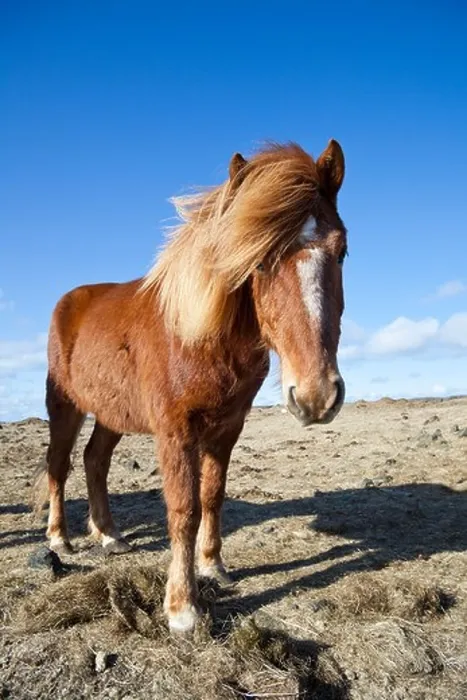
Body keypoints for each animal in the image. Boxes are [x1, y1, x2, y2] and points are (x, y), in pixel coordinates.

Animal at [39, 139, 348, 633]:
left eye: (341, 253)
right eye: (260, 261)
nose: (316, 396)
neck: (197, 337)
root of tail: (70, 300)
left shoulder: (227, 429)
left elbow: (212, 497)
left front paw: (213, 566)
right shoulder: (175, 431)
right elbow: (183, 509)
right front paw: (183, 608)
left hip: (112, 413)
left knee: (94, 461)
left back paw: (110, 536)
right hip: (65, 407)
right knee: (58, 465)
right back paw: (59, 540)